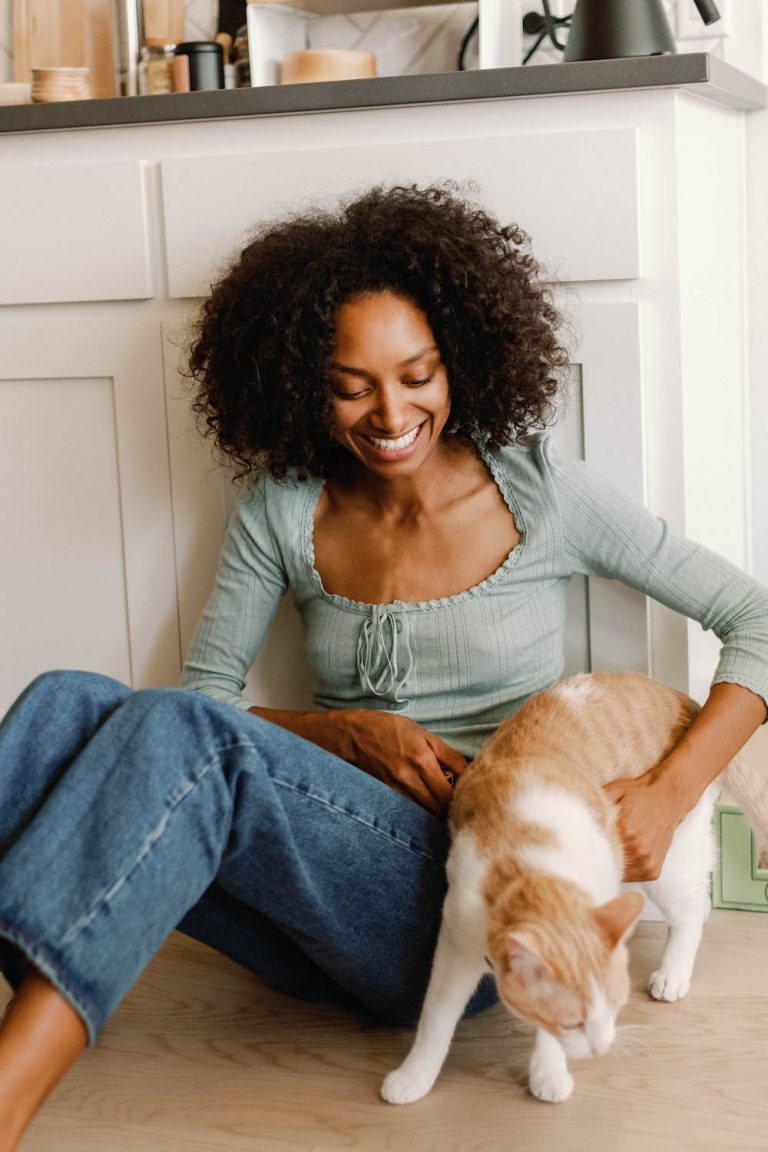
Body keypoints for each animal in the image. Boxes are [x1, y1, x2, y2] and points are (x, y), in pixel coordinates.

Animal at [379, 672, 768, 1105]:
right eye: (576, 1020)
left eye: (613, 1006)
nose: (602, 1046)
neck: (529, 859)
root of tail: (690, 702)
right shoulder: (457, 940)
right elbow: (436, 1018)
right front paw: (414, 1077)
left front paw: (548, 1072)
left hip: (669, 856)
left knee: (691, 911)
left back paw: (673, 973)